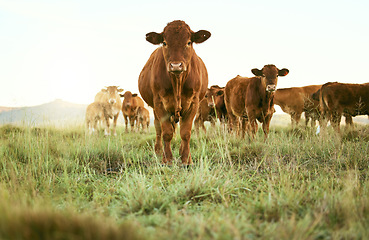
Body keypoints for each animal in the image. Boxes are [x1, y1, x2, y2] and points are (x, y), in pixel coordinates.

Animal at [137, 20, 210, 165]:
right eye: (165, 43)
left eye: (189, 42)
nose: (176, 65)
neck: (177, 82)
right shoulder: (159, 103)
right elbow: (166, 132)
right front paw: (168, 160)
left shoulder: (193, 103)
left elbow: (185, 132)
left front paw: (186, 160)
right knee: (158, 128)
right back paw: (159, 151)